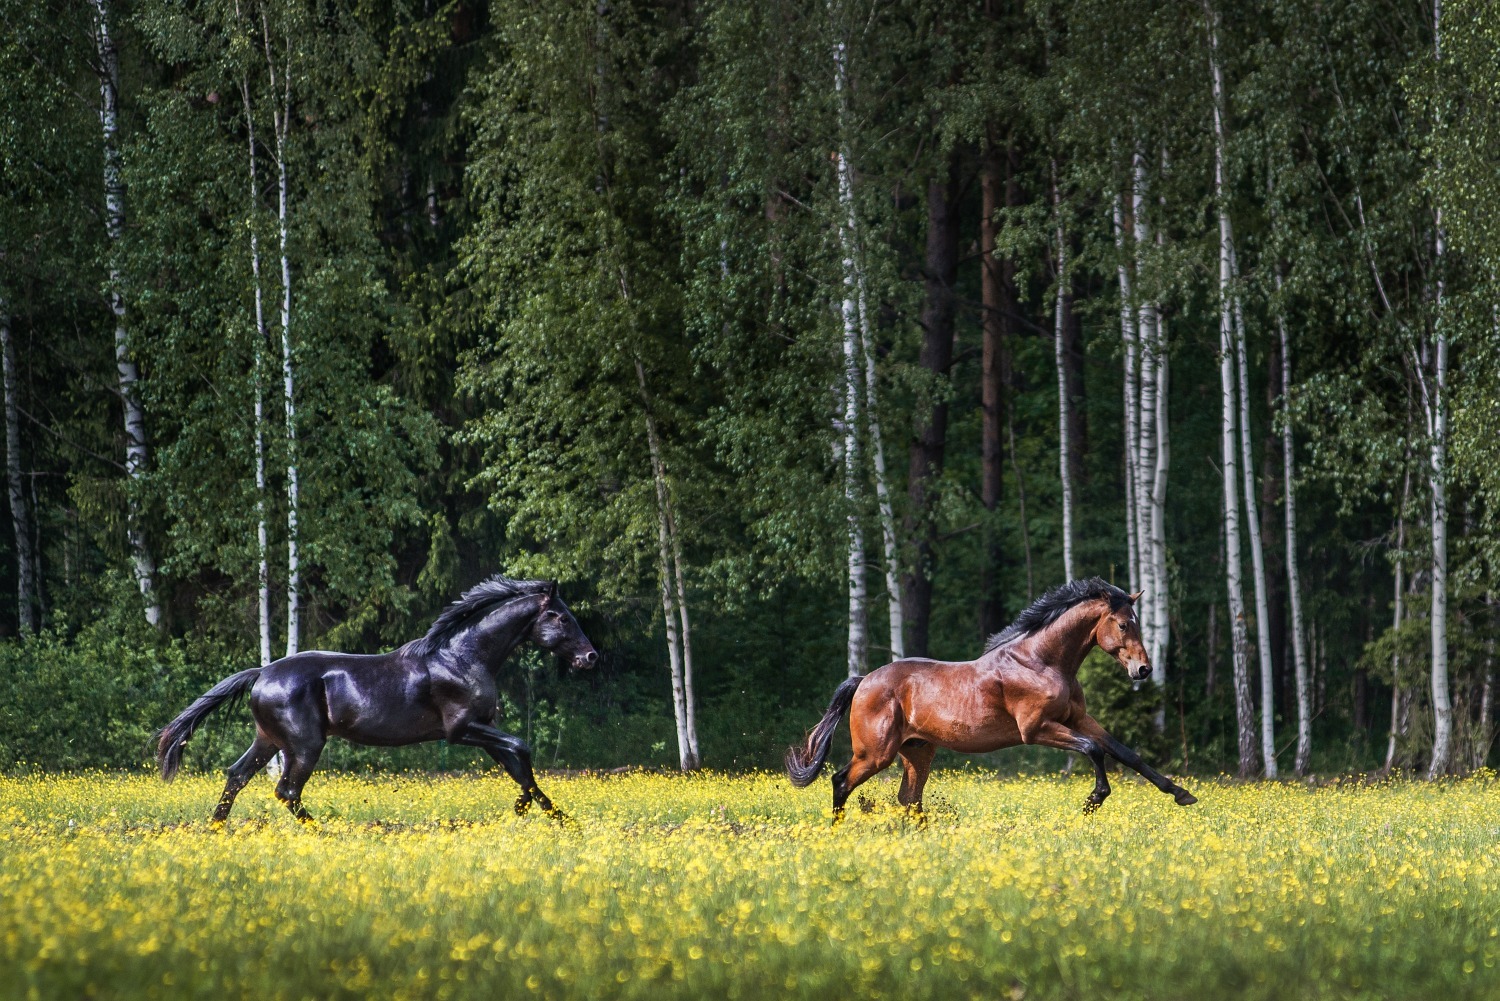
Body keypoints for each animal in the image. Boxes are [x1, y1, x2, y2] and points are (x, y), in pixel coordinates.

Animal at [157, 575, 598, 824]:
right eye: (561, 617)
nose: (590, 657)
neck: (463, 656)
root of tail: (261, 674)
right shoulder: (461, 730)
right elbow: (522, 749)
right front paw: (529, 812)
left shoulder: (484, 728)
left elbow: (519, 768)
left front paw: (555, 818)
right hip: (305, 744)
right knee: (286, 791)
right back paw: (325, 832)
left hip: (269, 740)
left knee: (237, 776)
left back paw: (216, 830)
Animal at [786, 577, 1197, 820]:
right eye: (1124, 624)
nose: (1143, 670)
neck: (1040, 661)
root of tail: (864, 680)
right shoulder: (1037, 729)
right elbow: (1093, 750)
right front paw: (1094, 799)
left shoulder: (1078, 719)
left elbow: (1126, 753)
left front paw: (1182, 794)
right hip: (875, 753)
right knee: (841, 781)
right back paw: (837, 833)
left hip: (917, 752)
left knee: (909, 799)